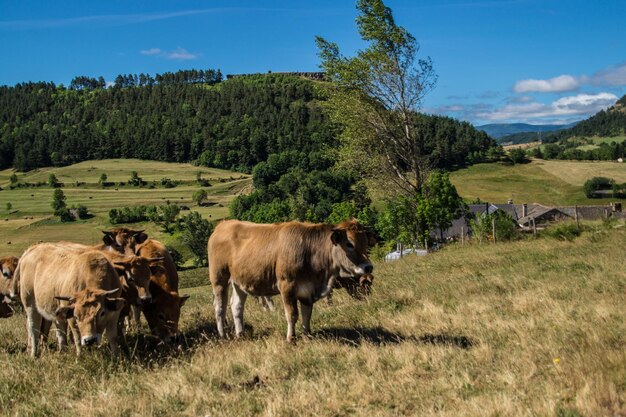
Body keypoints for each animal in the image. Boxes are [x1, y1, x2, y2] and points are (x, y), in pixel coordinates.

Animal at [207, 218, 372, 342]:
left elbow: (307, 313)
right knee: (219, 307)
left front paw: (307, 335)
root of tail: (224, 224)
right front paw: (291, 338)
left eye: (365, 242)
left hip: (240, 282)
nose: (368, 267)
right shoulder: (287, 286)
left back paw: (240, 334)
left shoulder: (308, 290)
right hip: (219, 278)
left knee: (236, 306)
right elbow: (292, 314)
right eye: (349, 243)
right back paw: (223, 335)